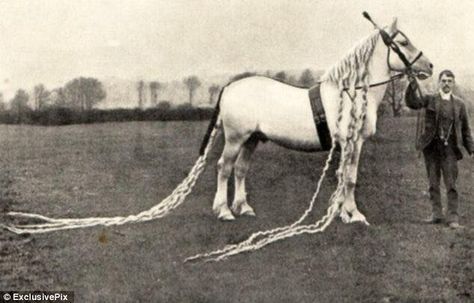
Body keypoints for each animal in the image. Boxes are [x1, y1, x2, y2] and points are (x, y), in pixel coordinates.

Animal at [204, 19, 434, 223]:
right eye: (403, 43)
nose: (430, 66)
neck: (352, 93)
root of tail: (230, 87)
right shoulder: (353, 143)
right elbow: (350, 179)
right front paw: (354, 214)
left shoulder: (348, 145)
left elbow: (344, 176)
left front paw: (342, 213)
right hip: (235, 139)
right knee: (224, 167)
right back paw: (224, 211)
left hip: (251, 139)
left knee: (240, 169)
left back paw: (243, 208)